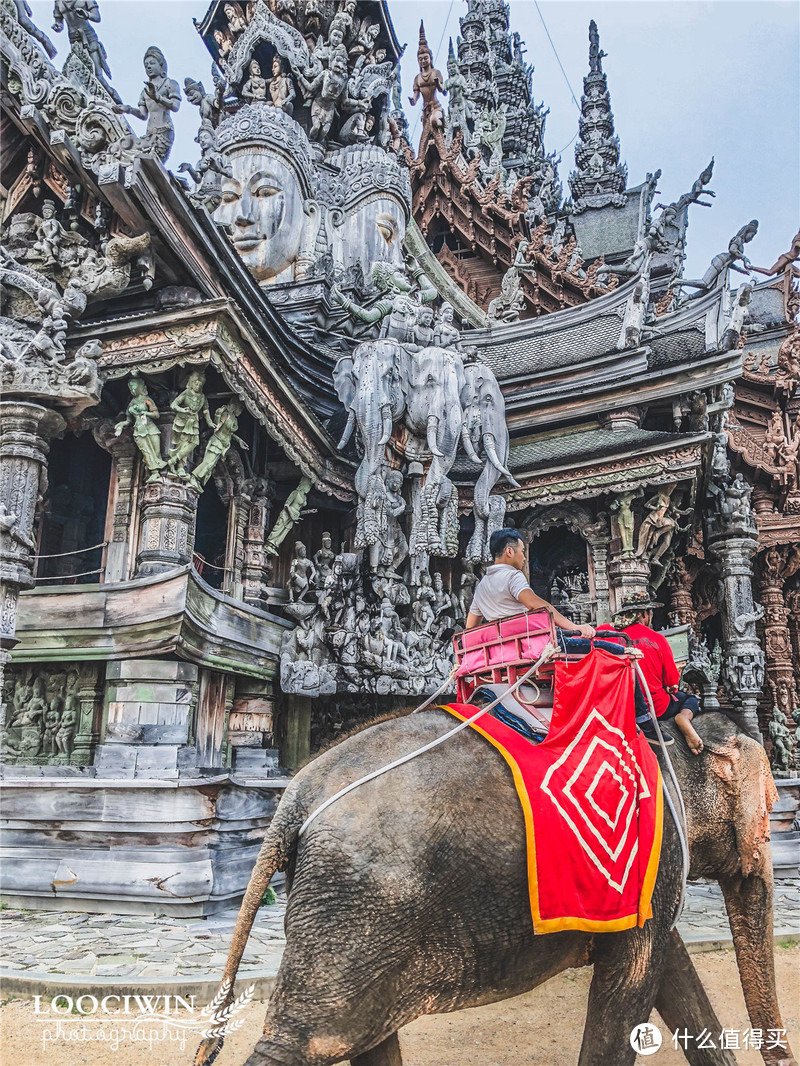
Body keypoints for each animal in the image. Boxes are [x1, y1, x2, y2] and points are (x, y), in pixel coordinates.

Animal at [193, 712, 797, 1066]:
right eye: (771, 810)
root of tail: (297, 794)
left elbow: (674, 974)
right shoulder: (654, 854)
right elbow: (631, 983)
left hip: (350, 913)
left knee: (359, 1035)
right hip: (355, 905)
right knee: (308, 1041)